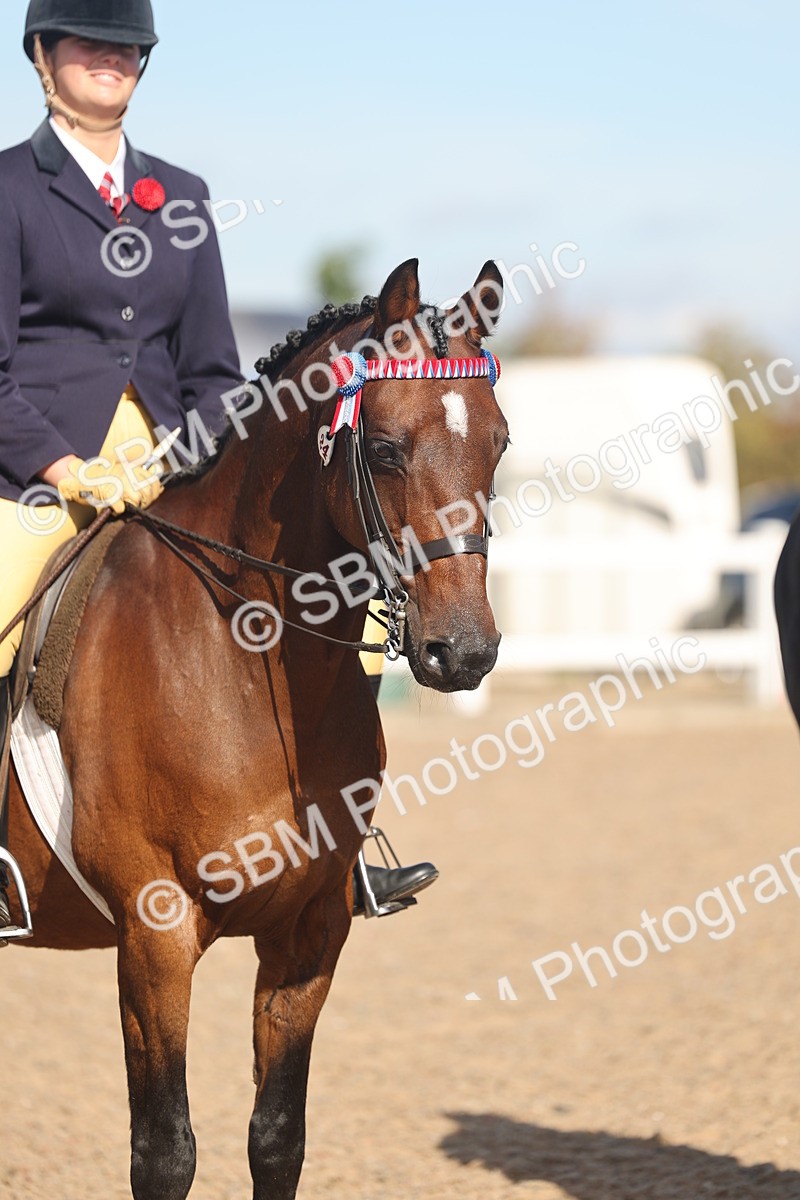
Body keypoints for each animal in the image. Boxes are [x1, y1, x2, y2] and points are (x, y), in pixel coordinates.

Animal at [5, 257, 508, 1200]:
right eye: (384, 449)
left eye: (498, 443)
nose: (463, 650)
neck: (242, 666)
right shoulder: (155, 935)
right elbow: (164, 1152)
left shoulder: (309, 933)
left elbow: (277, 1138)